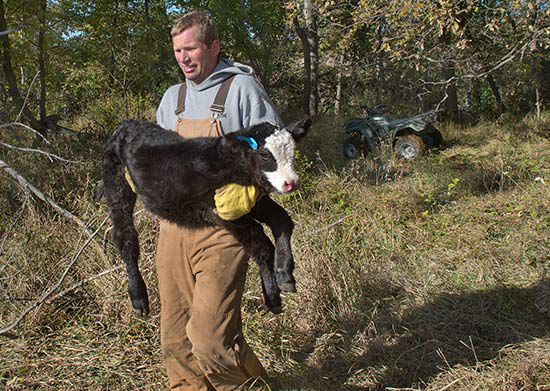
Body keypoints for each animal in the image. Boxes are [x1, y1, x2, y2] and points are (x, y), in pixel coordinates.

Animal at [102, 118, 310, 316]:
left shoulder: (251, 201)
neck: (230, 163)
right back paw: (138, 297)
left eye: (293, 151)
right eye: (264, 155)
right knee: (124, 236)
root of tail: (126, 125)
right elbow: (261, 245)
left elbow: (282, 220)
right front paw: (273, 294)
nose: (291, 183)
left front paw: (284, 272)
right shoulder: (221, 211)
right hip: (116, 186)